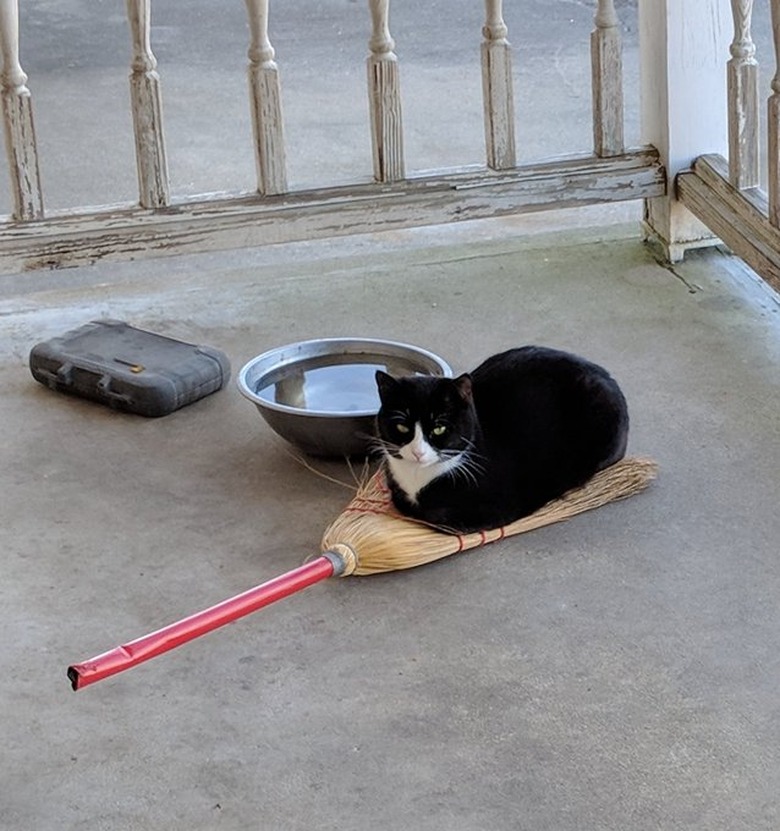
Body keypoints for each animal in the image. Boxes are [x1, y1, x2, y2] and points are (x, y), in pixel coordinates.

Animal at [374, 344, 632, 532]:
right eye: (402, 426)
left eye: (439, 428)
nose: (417, 452)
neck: (418, 478)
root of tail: (602, 372)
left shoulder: (498, 507)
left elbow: (440, 517)